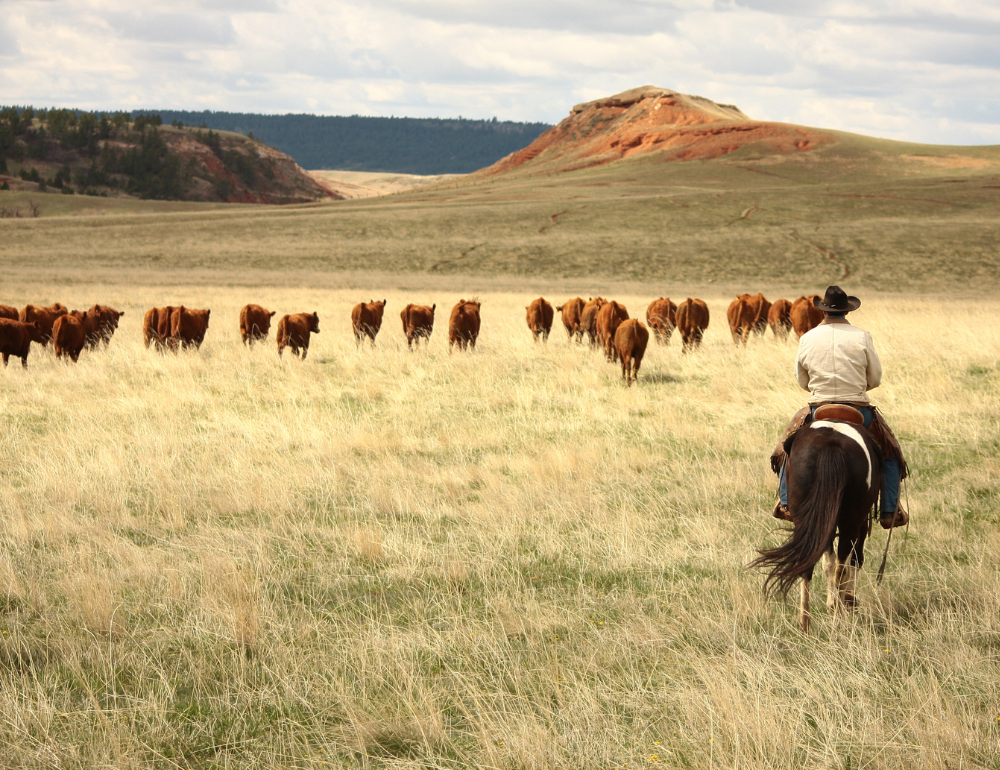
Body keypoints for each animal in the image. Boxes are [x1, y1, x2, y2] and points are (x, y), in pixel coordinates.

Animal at [752, 420, 884, 632]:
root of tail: (831, 445)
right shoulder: (861, 523)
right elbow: (854, 559)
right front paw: (845, 601)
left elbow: (827, 561)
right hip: (851, 522)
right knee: (842, 564)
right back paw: (838, 618)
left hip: (808, 520)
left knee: (809, 563)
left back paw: (805, 622)